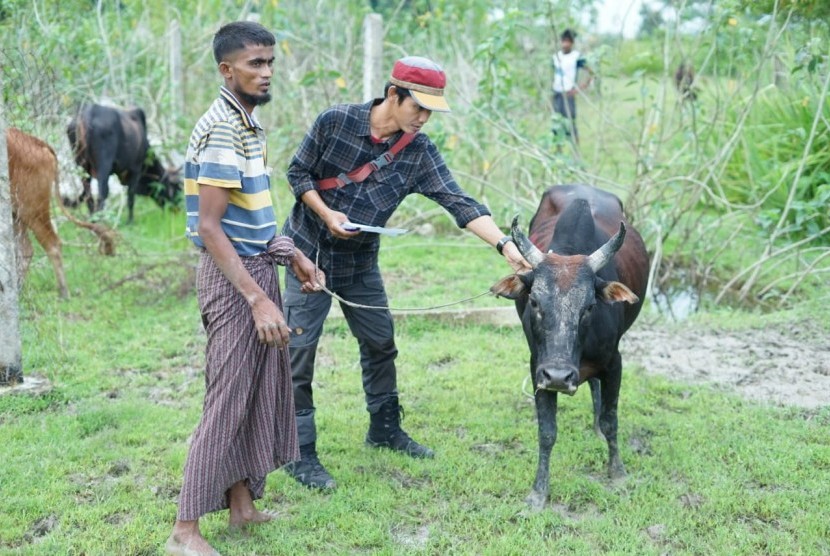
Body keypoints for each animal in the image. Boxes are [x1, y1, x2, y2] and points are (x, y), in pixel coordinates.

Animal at [7, 130, 117, 298]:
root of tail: (36, 142)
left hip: (31, 209)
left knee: (52, 244)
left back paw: (63, 293)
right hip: (18, 214)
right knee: (25, 249)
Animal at [490, 185, 652, 510]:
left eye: (589, 306)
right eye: (535, 302)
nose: (558, 377)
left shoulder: (614, 363)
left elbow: (611, 420)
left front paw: (618, 473)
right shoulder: (537, 368)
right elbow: (547, 431)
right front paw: (538, 492)